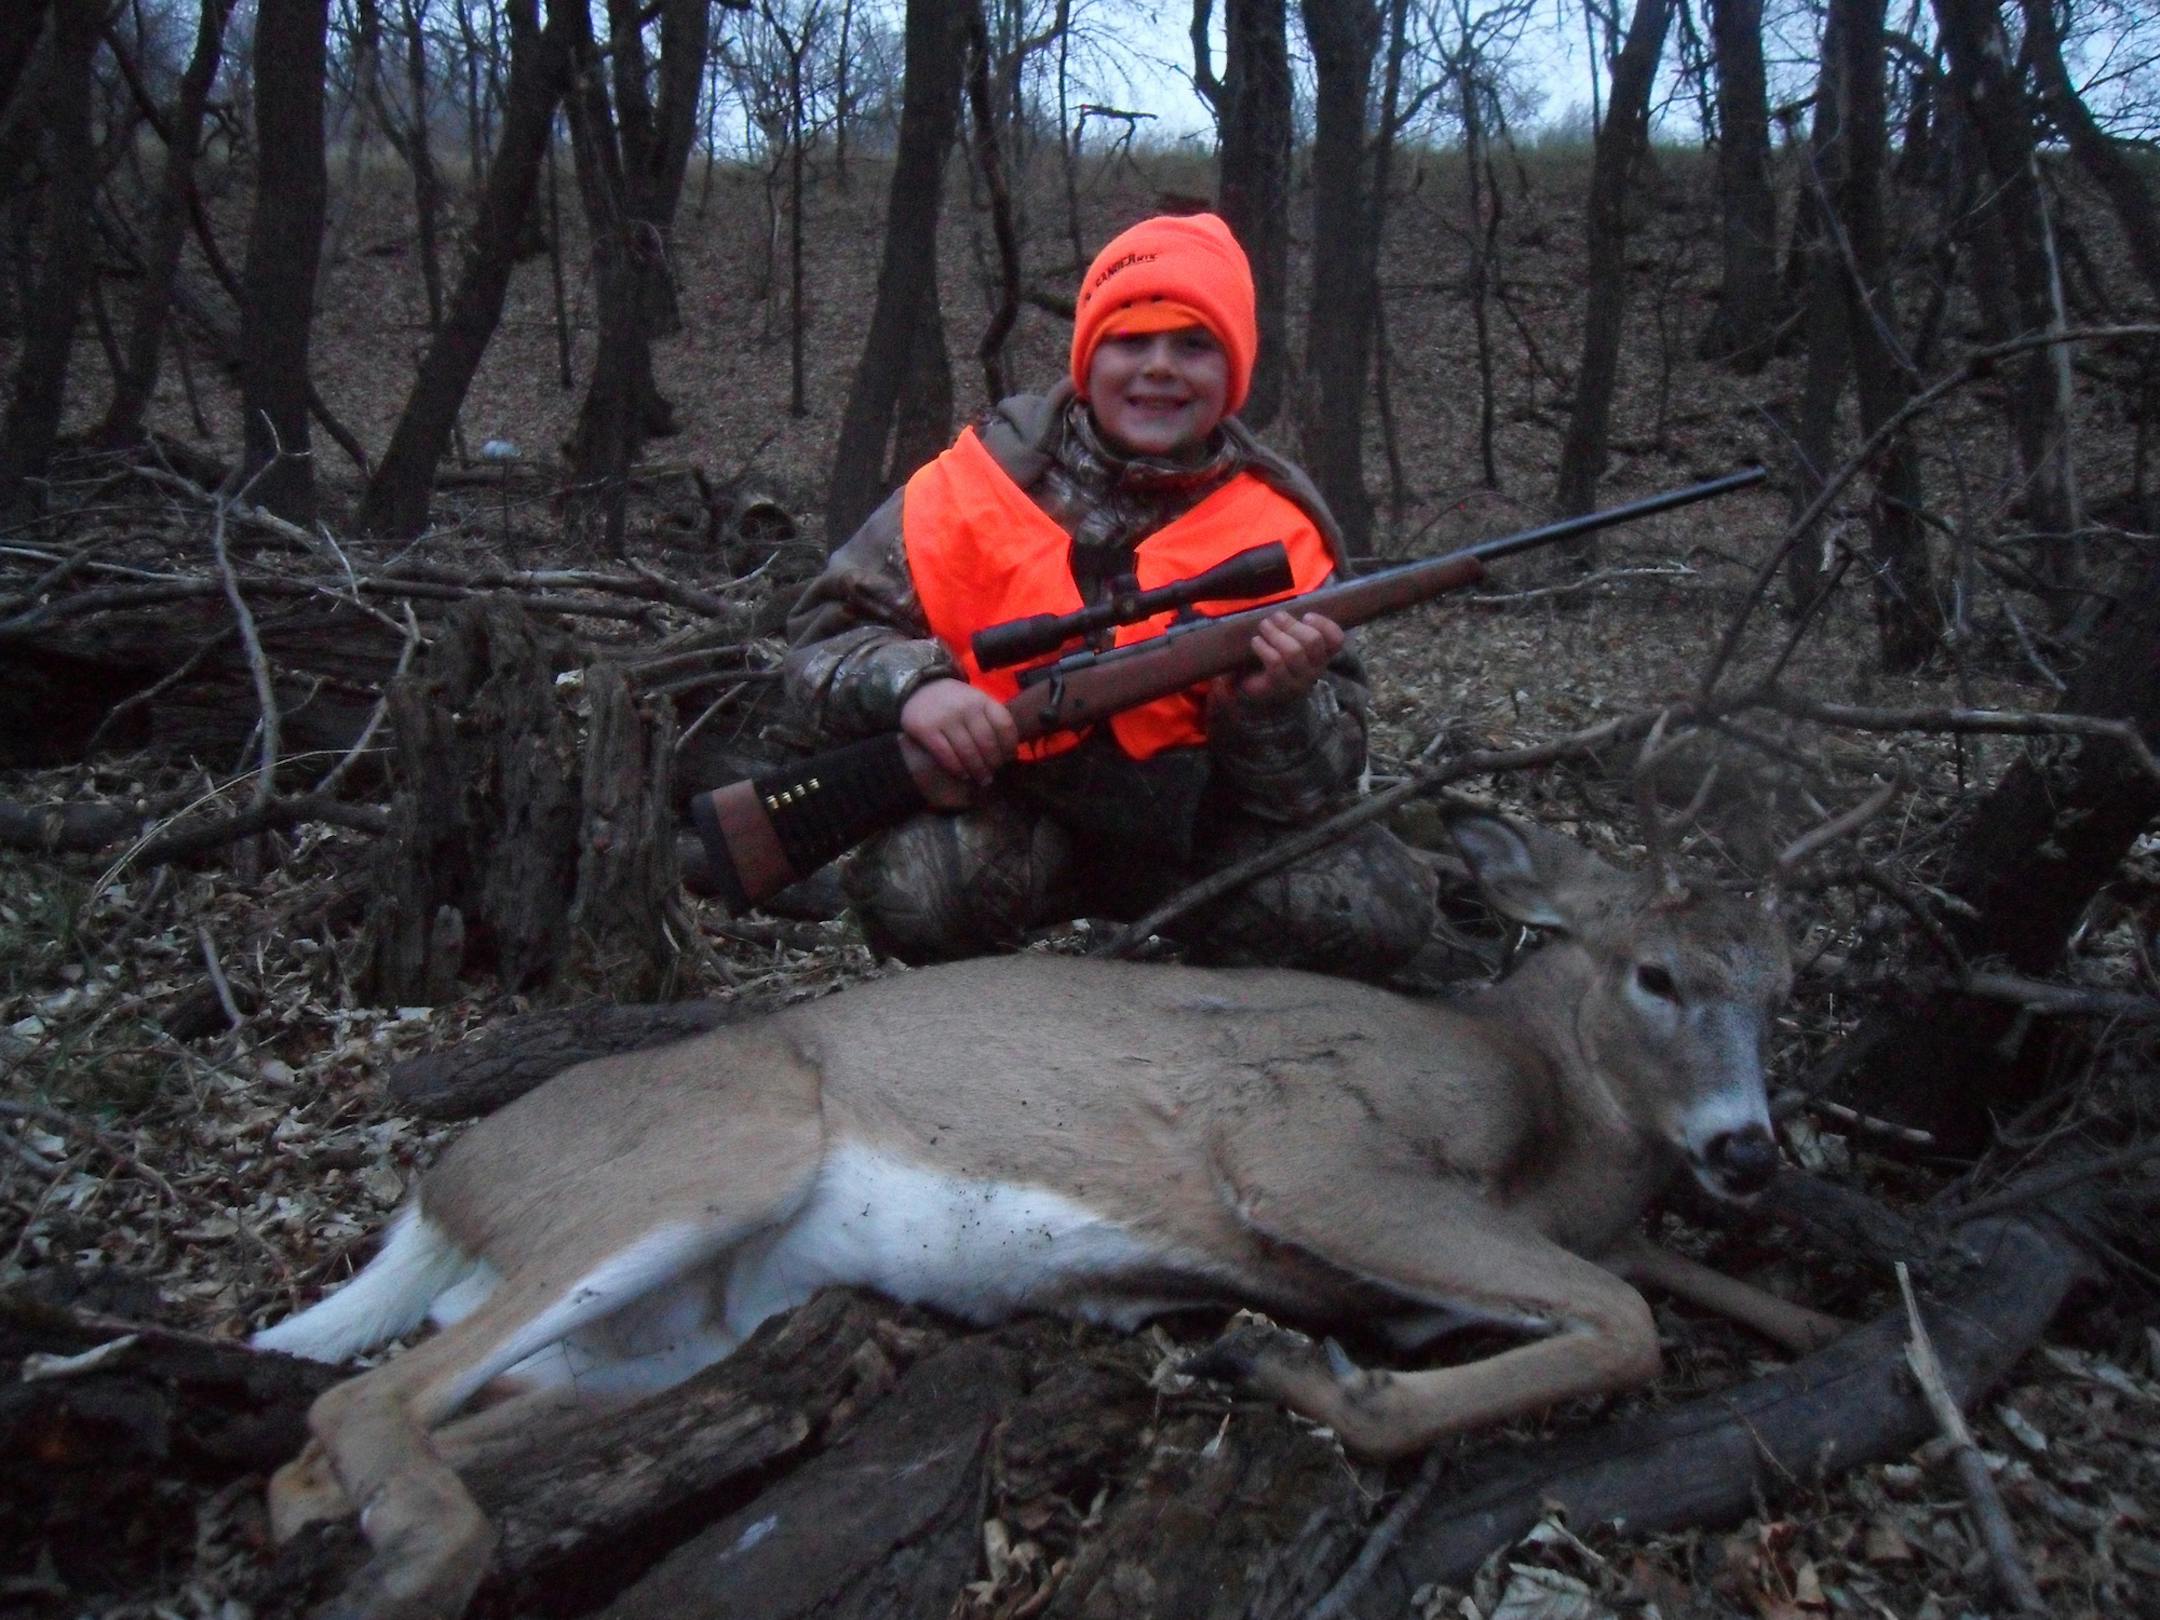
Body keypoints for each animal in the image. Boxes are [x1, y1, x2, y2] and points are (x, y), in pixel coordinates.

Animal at [252, 813, 1839, 1620]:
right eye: (1655, 975)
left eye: (1781, 986)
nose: (1748, 1151)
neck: (1550, 1127)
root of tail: (442, 1185)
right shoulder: (1311, 1147)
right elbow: (1625, 1318)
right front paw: (1304, 1372)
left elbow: (1660, 1300)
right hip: (720, 1152)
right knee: (354, 1399)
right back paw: (423, 1567)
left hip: (676, 1334)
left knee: (347, 1443)